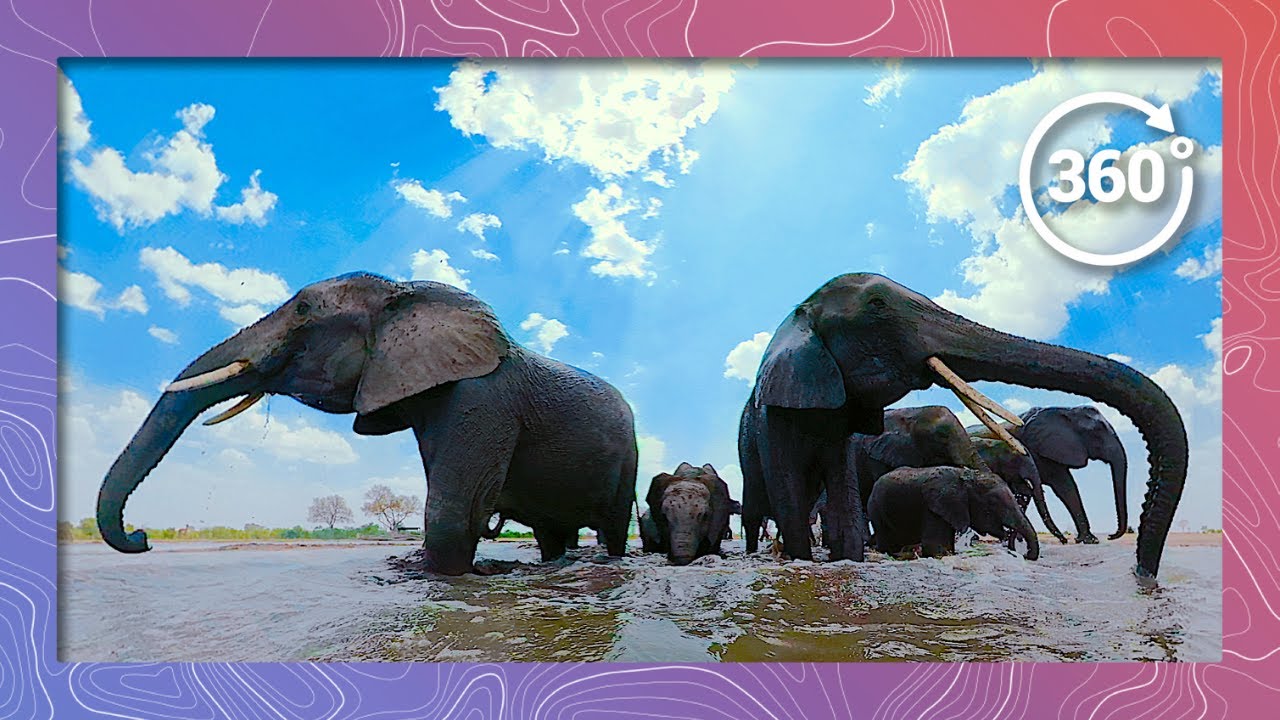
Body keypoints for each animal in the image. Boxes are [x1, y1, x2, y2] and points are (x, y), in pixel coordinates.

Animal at [96, 272, 638, 575]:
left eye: (303, 309)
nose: (142, 538)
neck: (406, 294)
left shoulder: (483, 400)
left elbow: (452, 510)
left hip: (629, 455)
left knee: (611, 524)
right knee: (551, 533)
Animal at [867, 466, 1040, 560]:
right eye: (992, 503)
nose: (1024, 555)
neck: (965, 478)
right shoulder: (934, 506)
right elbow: (935, 548)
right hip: (875, 508)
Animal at [972, 406, 1131, 544]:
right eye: (1097, 431)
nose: (1110, 536)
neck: (1066, 410)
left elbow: (1066, 487)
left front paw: (1089, 540)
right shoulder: (1036, 448)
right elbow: (1060, 485)